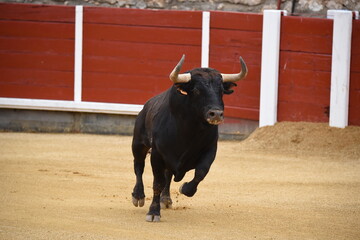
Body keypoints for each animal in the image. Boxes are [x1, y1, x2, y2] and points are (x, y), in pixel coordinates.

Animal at [131, 55, 248, 222]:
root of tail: (145, 107)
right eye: (197, 90)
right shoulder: (157, 154)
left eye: (221, 91)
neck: (189, 130)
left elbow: (201, 172)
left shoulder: (210, 150)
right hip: (138, 144)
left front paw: (185, 188)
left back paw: (166, 199)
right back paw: (138, 196)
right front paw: (153, 212)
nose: (216, 114)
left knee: (168, 174)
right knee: (139, 166)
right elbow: (157, 183)